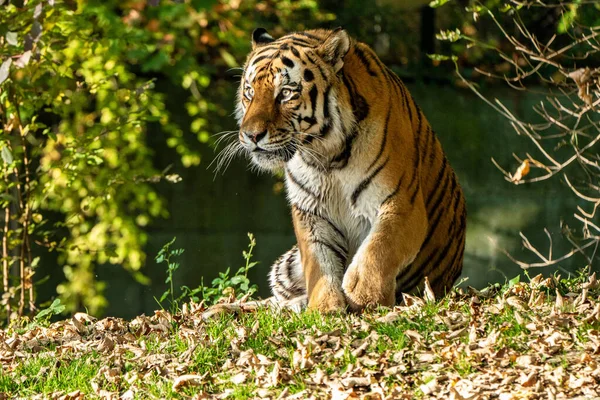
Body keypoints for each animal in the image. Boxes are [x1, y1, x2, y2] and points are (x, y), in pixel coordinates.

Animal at [236, 27, 468, 312]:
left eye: (286, 93)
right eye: (249, 91)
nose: (251, 135)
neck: (326, 156)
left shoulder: (402, 202)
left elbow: (381, 245)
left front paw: (364, 294)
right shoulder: (310, 211)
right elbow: (319, 262)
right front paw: (324, 307)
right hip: (286, 267)